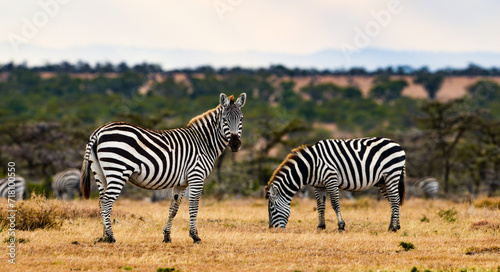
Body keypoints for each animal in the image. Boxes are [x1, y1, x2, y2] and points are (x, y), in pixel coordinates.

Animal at [81, 93, 247, 242]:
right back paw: (111, 237)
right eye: (224, 120)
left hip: (100, 172)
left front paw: (167, 236)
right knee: (107, 202)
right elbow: (194, 205)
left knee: (101, 202)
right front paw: (195, 236)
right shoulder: (196, 176)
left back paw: (103, 237)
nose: (235, 144)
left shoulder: (181, 183)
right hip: (118, 171)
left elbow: (173, 208)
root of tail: (99, 130)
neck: (204, 142)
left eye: (241, 119)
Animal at [266, 138, 406, 232]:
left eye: (272, 209)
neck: (311, 166)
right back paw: (394, 225)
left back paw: (394, 228)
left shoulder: (331, 178)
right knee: (393, 200)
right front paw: (320, 227)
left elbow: (334, 203)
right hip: (383, 181)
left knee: (395, 199)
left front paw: (341, 226)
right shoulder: (319, 185)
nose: (272, 229)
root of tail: (397, 144)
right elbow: (320, 206)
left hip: (392, 174)